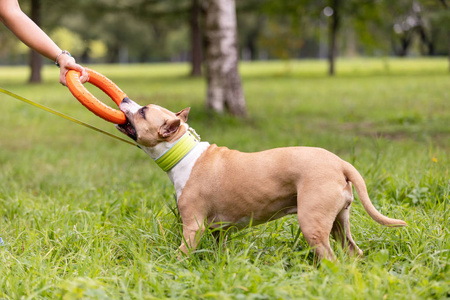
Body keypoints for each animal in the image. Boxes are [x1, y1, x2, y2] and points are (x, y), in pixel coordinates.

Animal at [117, 98, 408, 260]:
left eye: (143, 112)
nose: (124, 100)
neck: (182, 152)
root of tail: (340, 163)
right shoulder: (219, 229)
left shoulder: (193, 227)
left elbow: (182, 254)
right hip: (339, 221)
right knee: (352, 251)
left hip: (312, 224)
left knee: (331, 257)